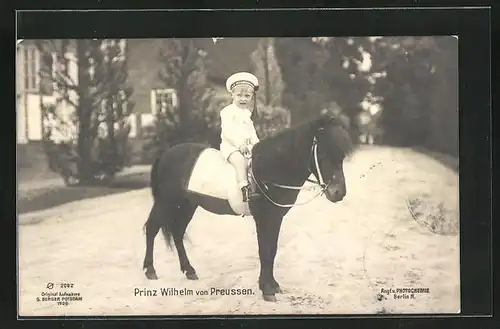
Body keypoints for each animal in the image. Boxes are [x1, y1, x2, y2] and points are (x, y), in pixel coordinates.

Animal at [143, 113, 358, 302]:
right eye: (322, 153)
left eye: (341, 156)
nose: (339, 193)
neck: (271, 168)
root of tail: (166, 154)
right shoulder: (263, 218)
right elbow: (264, 251)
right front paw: (266, 290)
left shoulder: (276, 217)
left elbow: (272, 250)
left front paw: (273, 285)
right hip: (166, 202)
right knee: (152, 229)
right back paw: (150, 270)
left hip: (187, 205)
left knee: (178, 234)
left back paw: (189, 270)